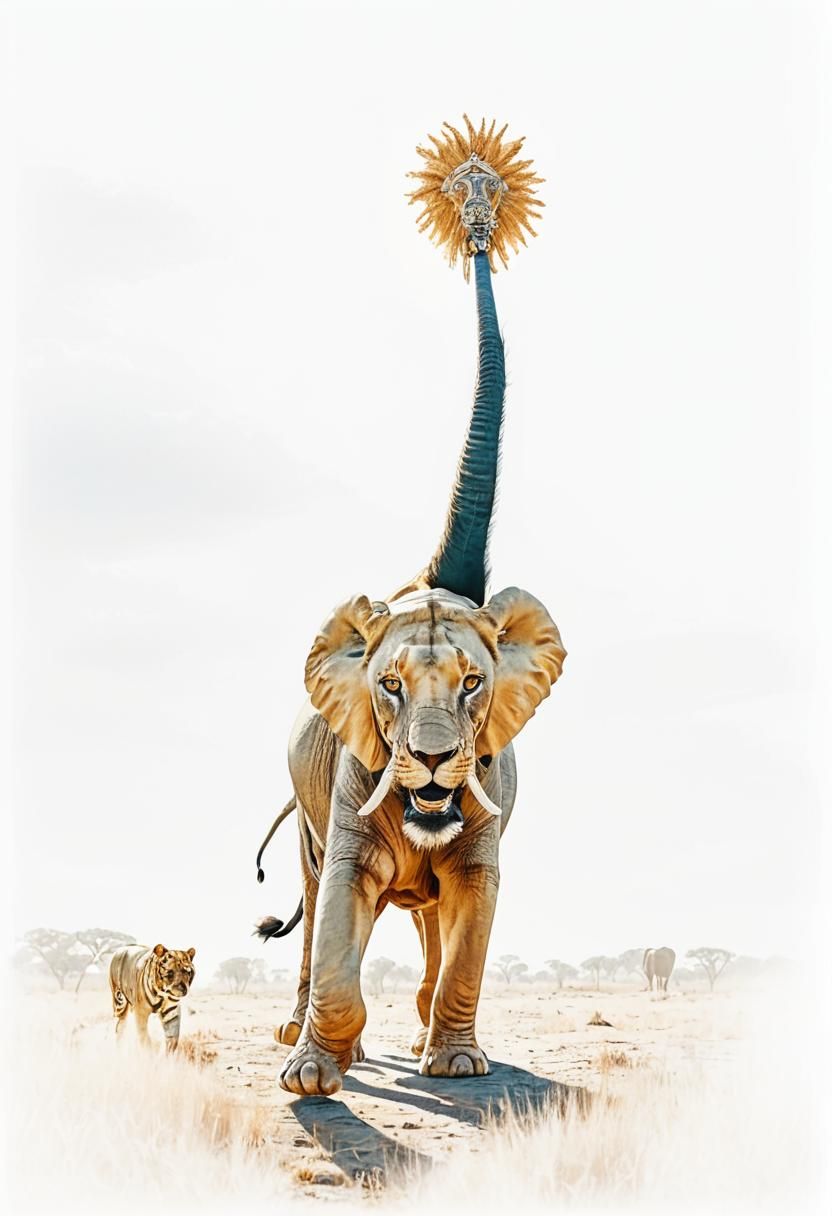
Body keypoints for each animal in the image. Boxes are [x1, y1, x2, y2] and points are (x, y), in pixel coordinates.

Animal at [256, 249, 566, 1097]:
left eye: (473, 685)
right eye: (387, 688)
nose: (429, 762)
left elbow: (474, 906)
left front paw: (456, 1068)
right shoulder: (348, 783)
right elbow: (339, 899)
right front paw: (309, 1080)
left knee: (431, 916)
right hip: (305, 812)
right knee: (313, 897)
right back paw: (316, 1040)